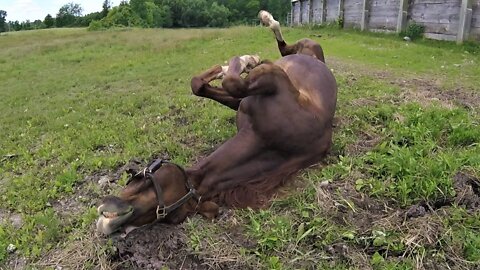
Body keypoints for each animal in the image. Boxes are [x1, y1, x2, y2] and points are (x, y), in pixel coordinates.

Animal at [96, 19, 338, 236]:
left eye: (168, 215)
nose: (108, 226)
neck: (272, 139)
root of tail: (317, 60)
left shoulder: (272, 79)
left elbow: (232, 82)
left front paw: (243, 60)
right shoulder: (243, 101)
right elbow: (199, 85)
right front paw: (238, 64)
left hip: (304, 45)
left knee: (282, 44)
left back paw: (264, 26)